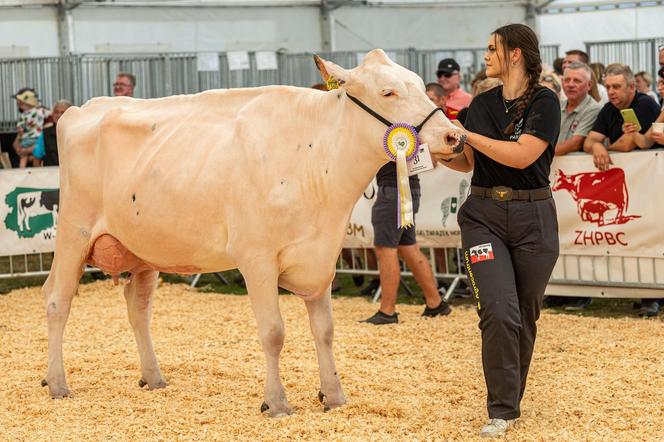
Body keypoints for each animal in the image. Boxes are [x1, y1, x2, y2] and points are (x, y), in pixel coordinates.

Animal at [41, 50, 464, 416]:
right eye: (388, 92)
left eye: (420, 85)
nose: (453, 136)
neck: (314, 159)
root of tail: (82, 108)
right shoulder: (256, 257)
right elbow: (274, 332)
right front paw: (276, 403)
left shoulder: (322, 255)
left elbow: (325, 331)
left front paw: (334, 395)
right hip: (74, 233)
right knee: (57, 302)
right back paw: (58, 384)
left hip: (144, 249)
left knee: (137, 308)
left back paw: (153, 377)